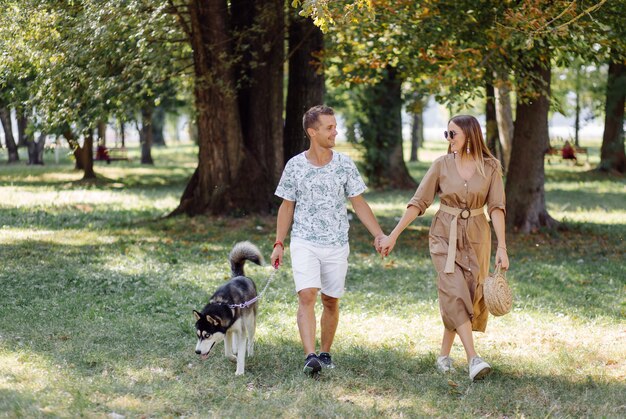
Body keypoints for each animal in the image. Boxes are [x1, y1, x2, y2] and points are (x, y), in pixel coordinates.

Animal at [193, 241, 260, 376]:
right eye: (198, 335)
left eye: (207, 335)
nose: (197, 352)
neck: (223, 304)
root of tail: (240, 276)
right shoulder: (226, 331)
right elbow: (227, 353)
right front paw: (233, 358)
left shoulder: (240, 331)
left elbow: (241, 353)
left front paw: (239, 372)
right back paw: (235, 348)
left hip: (250, 321)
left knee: (250, 338)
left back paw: (250, 353)